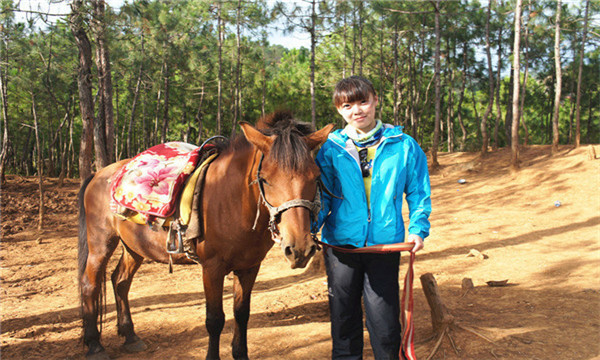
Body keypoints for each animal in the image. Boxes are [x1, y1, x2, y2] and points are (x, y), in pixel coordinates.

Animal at [76, 111, 332, 358]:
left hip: (135, 247)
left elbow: (242, 313)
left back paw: (130, 336)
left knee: (120, 281)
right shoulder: (212, 268)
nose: (299, 249)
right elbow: (215, 320)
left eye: (315, 177)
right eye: (266, 179)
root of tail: (99, 174)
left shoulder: (249, 267)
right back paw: (95, 345)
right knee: (89, 284)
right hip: (101, 244)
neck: (233, 201)